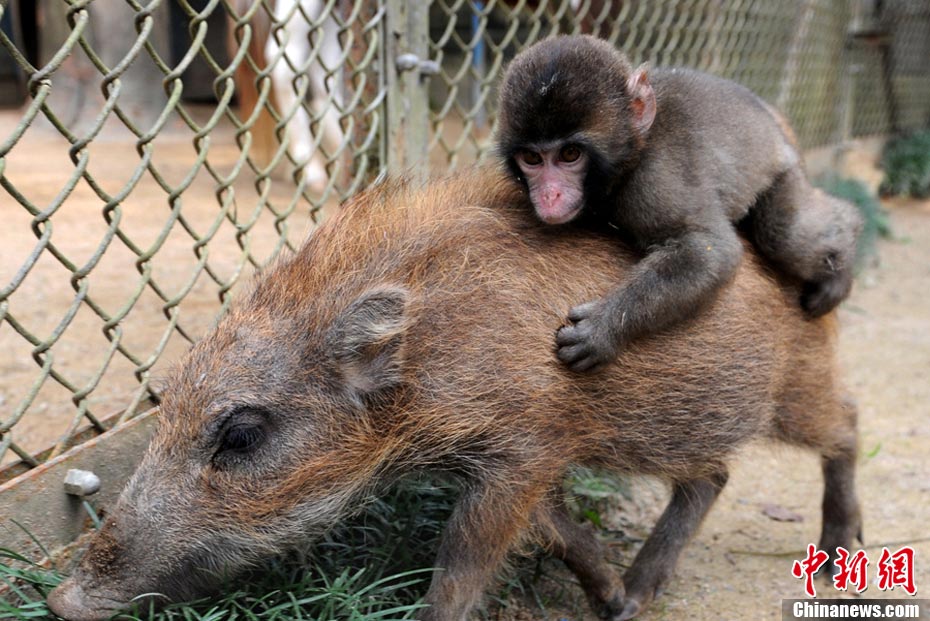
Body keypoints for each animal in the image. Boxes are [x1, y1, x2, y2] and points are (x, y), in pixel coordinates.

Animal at [496, 34, 860, 370]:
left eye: (570, 154)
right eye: (532, 158)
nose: (550, 194)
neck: (634, 154)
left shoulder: (655, 183)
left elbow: (710, 251)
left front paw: (604, 327)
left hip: (784, 170)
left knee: (783, 235)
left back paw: (847, 240)